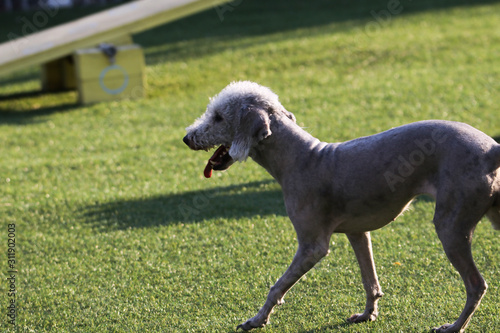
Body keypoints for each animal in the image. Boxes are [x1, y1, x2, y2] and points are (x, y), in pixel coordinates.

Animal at [185, 81, 500, 332]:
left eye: (218, 116)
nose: (187, 137)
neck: (300, 157)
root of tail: (491, 149)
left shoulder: (312, 246)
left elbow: (277, 286)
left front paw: (256, 320)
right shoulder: (357, 232)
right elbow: (369, 280)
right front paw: (368, 314)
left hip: (450, 225)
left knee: (476, 284)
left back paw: (454, 327)